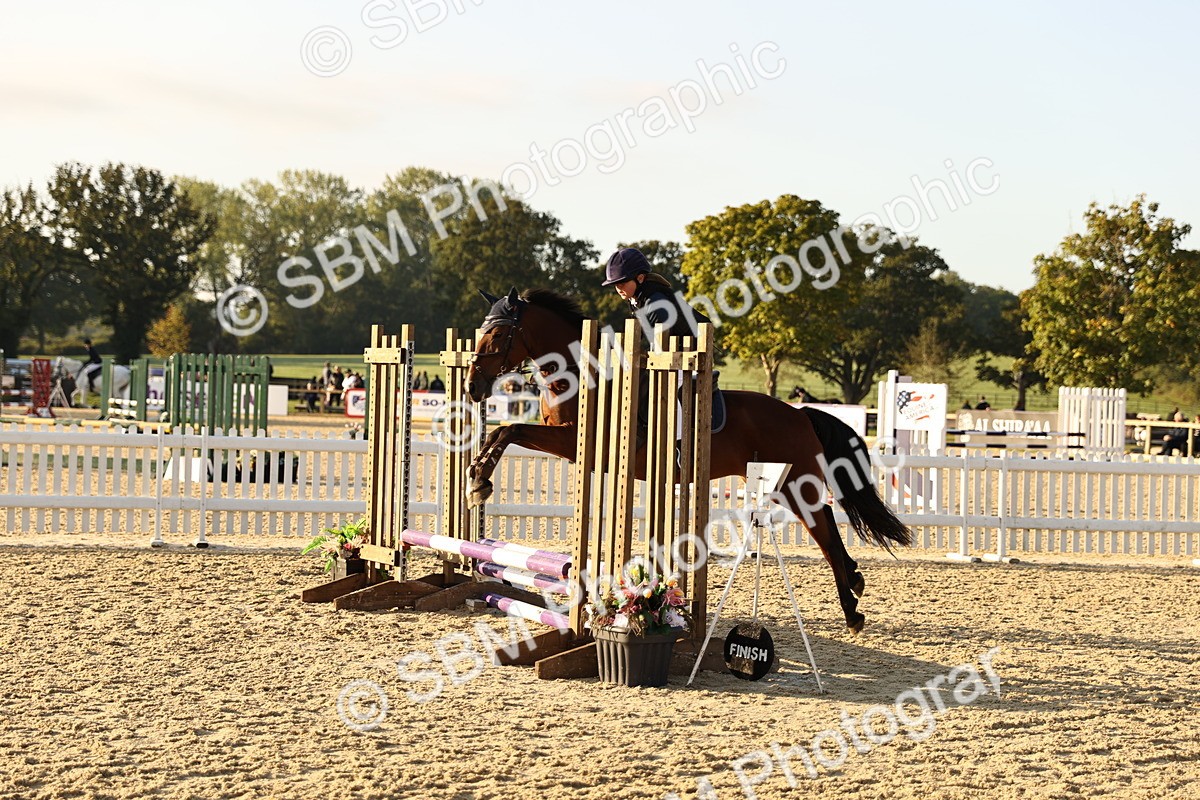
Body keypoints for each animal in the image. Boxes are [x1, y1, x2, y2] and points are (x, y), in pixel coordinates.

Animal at [465, 288, 912, 633]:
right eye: (480, 331)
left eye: (499, 333)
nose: (472, 387)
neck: (579, 375)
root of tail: (801, 414)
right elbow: (503, 432)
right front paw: (476, 478)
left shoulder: (575, 440)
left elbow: (509, 430)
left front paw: (478, 481)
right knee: (826, 525)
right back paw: (855, 583)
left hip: (793, 483)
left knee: (824, 531)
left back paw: (851, 608)